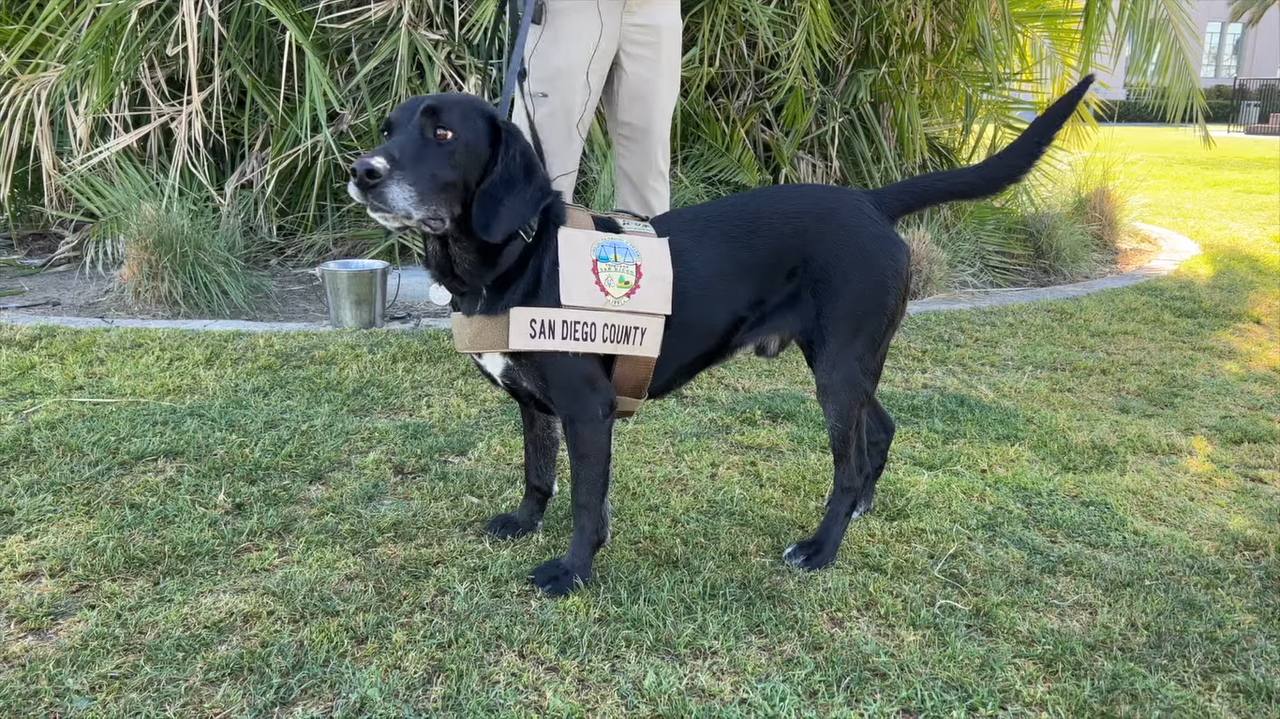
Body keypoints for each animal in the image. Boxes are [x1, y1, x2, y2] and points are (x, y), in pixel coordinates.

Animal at [345, 75, 1095, 596]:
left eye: (443, 136)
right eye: (389, 127)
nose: (363, 171)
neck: (518, 258)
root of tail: (870, 200)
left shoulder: (588, 410)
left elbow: (585, 500)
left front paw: (572, 571)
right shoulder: (537, 406)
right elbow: (539, 472)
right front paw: (524, 524)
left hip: (839, 368)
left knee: (848, 464)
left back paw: (819, 549)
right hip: (845, 359)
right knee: (879, 429)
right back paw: (857, 515)